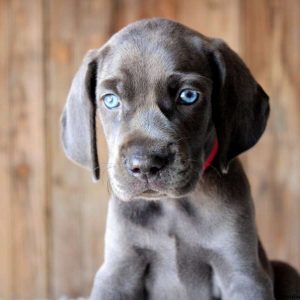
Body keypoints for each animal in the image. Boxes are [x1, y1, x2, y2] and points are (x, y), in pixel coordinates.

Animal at [61, 18, 300, 300]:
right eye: (110, 100)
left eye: (188, 96)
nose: (145, 165)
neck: (171, 207)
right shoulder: (118, 271)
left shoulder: (242, 272)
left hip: (286, 270)